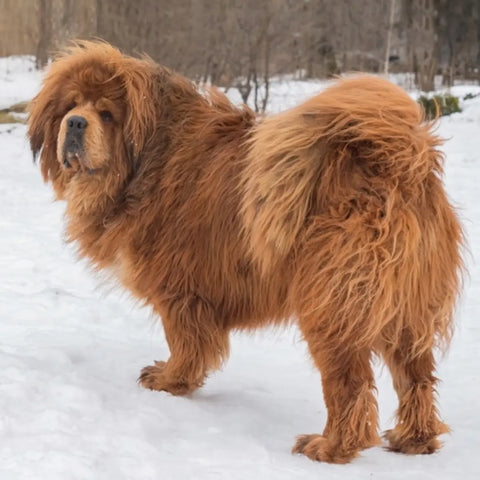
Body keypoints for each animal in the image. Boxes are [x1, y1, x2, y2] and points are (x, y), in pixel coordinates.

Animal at [28, 43, 464, 464]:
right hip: (406, 312)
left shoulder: (179, 291)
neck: (147, 159)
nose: (76, 123)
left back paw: (331, 447)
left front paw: (171, 381)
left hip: (331, 307)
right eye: (70, 106)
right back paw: (414, 440)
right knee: (417, 379)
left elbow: (184, 343)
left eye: (106, 113)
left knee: (351, 386)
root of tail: (399, 161)